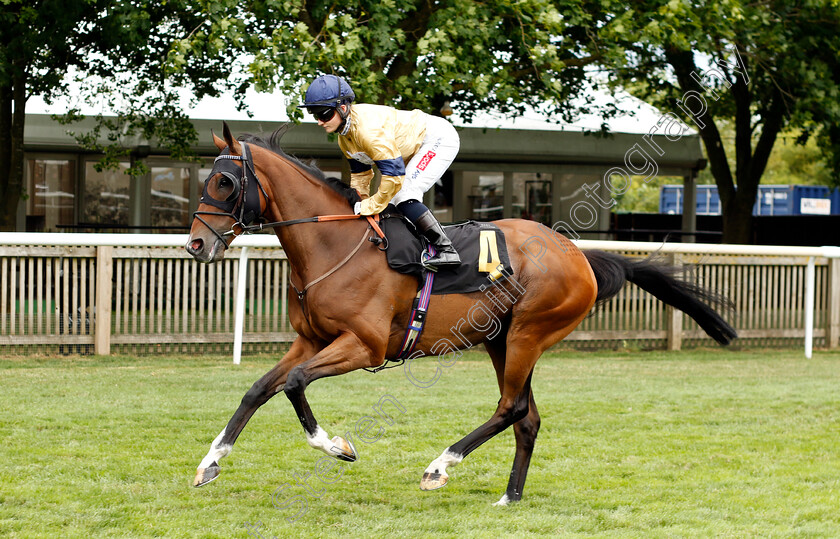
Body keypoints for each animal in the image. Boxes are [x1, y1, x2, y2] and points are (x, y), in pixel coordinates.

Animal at [185, 122, 736, 506]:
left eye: (224, 182)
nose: (195, 244)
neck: (332, 243)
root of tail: (579, 254)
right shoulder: (312, 340)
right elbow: (259, 389)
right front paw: (210, 461)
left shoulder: (364, 347)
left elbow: (296, 383)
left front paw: (338, 446)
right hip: (501, 338)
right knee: (528, 417)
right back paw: (510, 496)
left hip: (529, 333)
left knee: (511, 408)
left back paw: (439, 466)